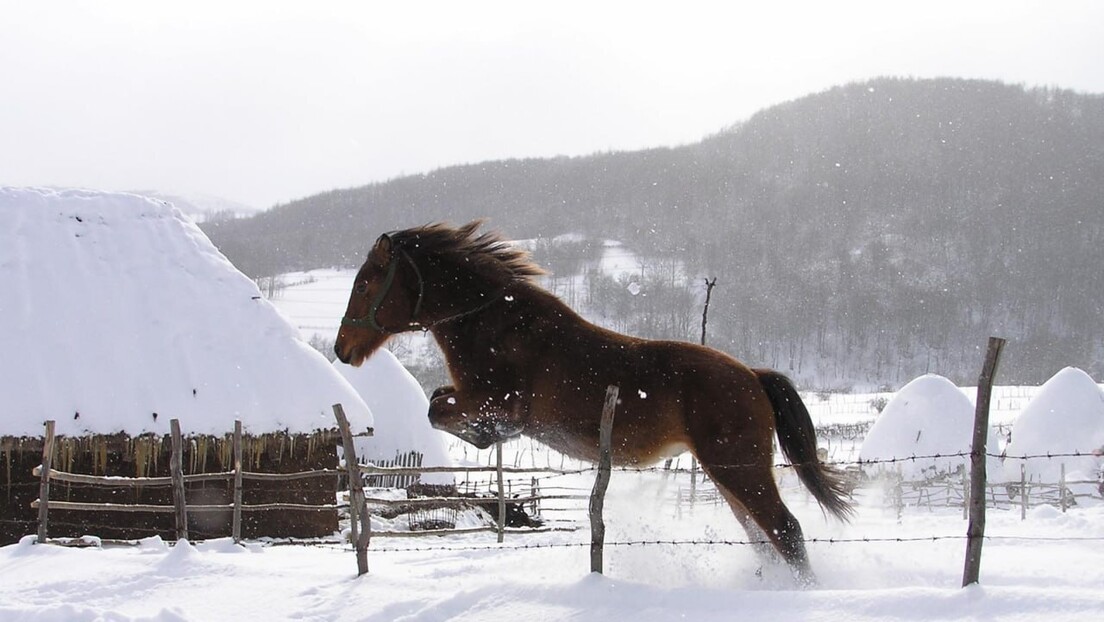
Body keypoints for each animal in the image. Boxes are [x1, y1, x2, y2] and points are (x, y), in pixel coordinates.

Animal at [335, 220, 852, 583]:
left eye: (364, 285)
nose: (342, 349)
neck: (495, 323)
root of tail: (753, 376)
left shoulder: (497, 399)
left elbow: (439, 409)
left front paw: (485, 436)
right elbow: (437, 400)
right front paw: (482, 437)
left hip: (738, 469)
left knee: (786, 532)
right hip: (729, 475)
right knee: (765, 539)